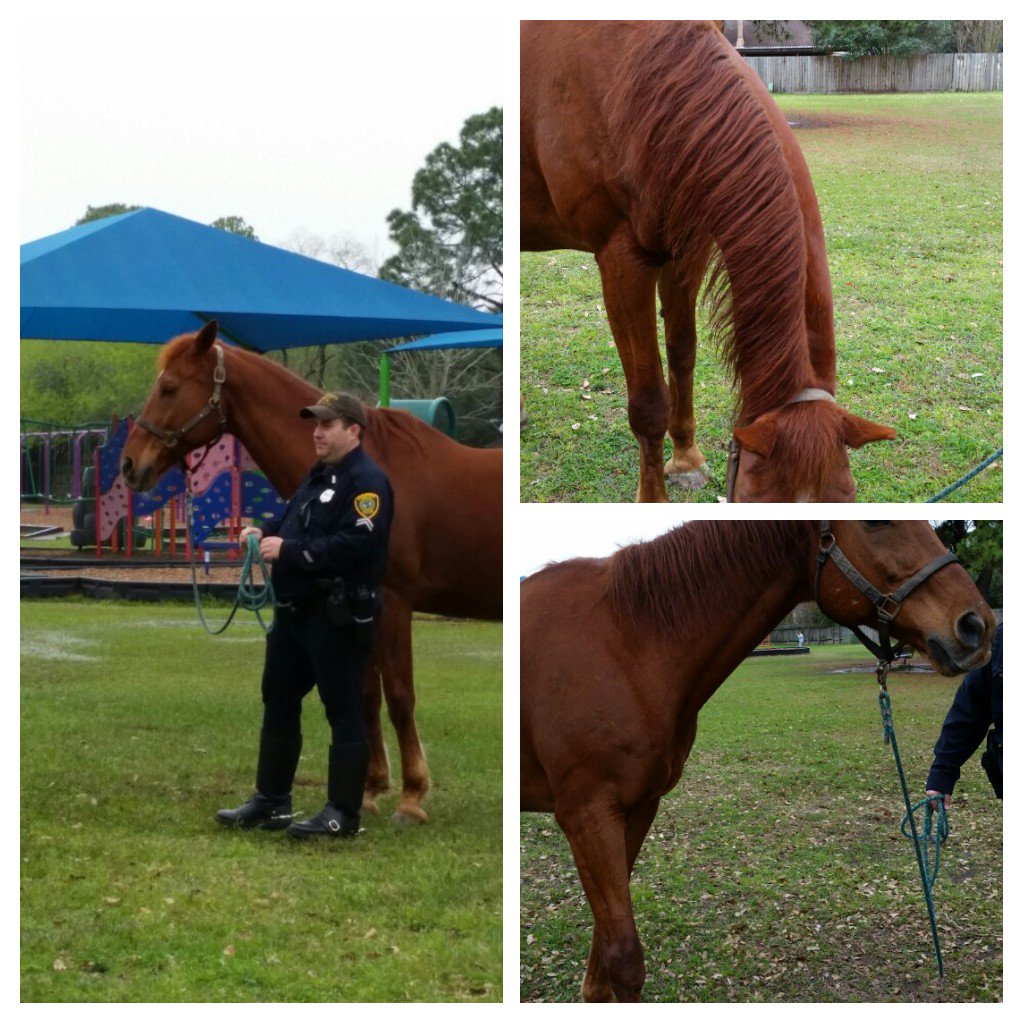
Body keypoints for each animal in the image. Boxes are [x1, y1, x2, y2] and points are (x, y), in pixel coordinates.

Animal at [120, 321, 502, 823]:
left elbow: (401, 697)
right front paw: (370, 789)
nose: (129, 465)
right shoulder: (363, 615)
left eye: (169, 388)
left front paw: (412, 797)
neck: (372, 467)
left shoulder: (393, 602)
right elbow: (365, 696)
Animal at [520, 21, 896, 502]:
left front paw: (686, 460)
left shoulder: (685, 252)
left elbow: (683, 353)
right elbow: (648, 404)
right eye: (762, 500)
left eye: (847, 497)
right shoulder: (622, 261)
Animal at [520, 520, 995, 1001]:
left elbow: (602, 963)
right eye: (876, 522)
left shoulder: (635, 810)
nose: (977, 625)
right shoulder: (588, 816)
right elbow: (624, 962)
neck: (625, 645)